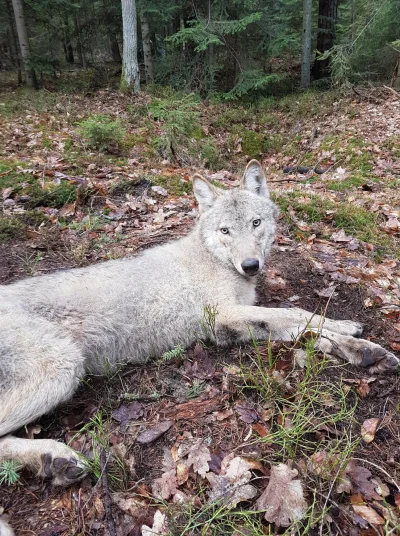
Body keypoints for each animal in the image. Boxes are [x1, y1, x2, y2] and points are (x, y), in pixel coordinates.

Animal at [0, 159, 396, 494]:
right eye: (225, 230)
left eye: (256, 223)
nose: (251, 265)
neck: (215, 260)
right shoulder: (225, 316)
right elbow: (301, 314)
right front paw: (350, 333)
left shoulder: (236, 323)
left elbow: (306, 330)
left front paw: (361, 348)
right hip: (62, 368)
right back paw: (54, 457)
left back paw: (52, 461)